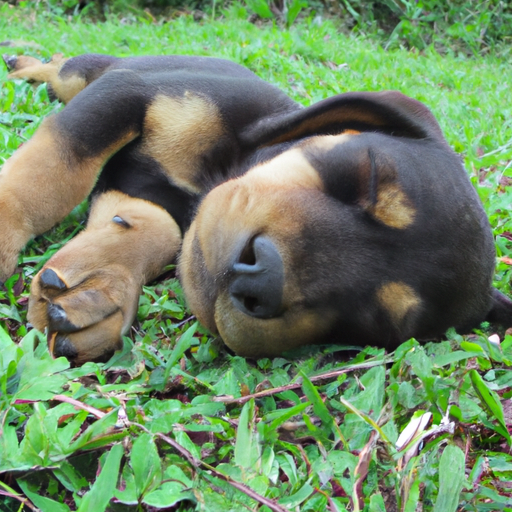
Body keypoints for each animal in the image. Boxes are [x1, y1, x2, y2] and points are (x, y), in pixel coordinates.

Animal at [2, 52, 510, 364]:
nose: (261, 280)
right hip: (91, 75)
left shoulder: (147, 191)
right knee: (59, 71)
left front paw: (101, 286)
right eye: (367, 173)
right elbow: (52, 170)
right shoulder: (126, 94)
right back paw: (22, 64)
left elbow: (153, 226)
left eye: (377, 322)